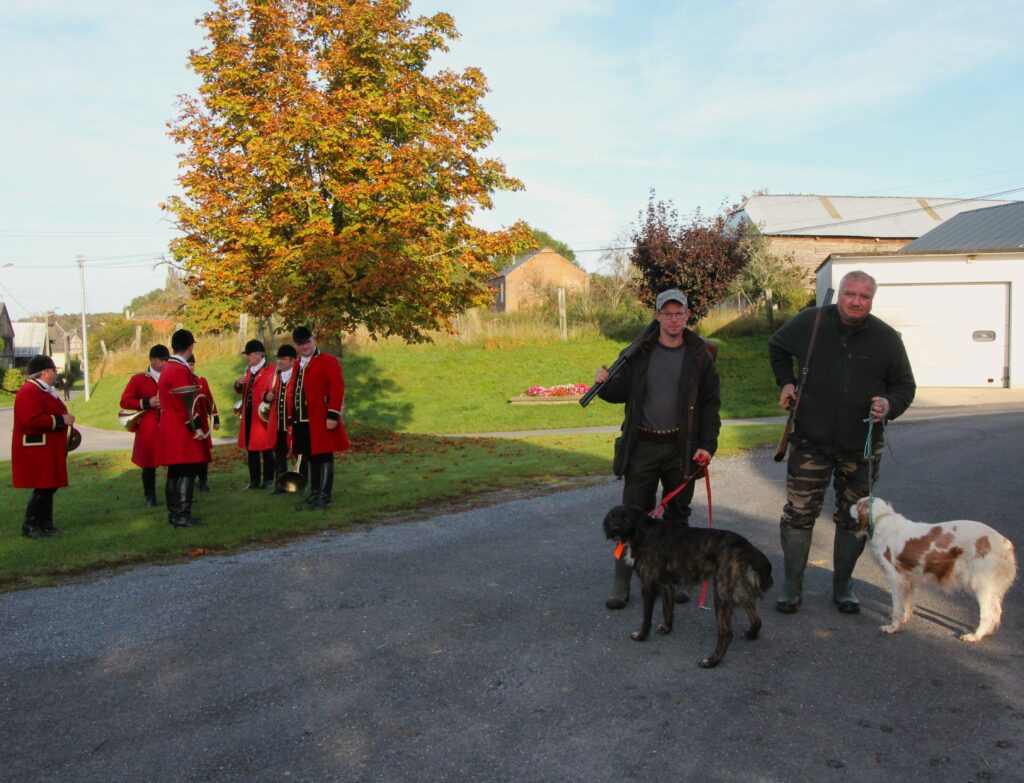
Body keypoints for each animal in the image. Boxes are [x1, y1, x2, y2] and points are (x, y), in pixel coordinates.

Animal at [602, 507, 770, 667]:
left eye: (626, 518)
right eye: (611, 517)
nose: (615, 529)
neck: (644, 532)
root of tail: (745, 546)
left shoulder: (648, 585)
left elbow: (646, 617)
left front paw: (642, 635)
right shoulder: (667, 585)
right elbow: (668, 609)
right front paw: (667, 628)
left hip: (721, 594)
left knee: (726, 633)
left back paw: (711, 661)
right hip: (736, 590)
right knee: (756, 618)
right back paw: (751, 634)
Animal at [856, 497, 1015, 638]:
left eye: (856, 504)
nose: (850, 504)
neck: (882, 519)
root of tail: (1004, 542)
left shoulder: (896, 579)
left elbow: (897, 607)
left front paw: (893, 627)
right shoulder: (909, 579)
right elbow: (908, 603)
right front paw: (904, 619)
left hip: (980, 585)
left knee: (989, 614)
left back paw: (976, 636)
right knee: (996, 612)